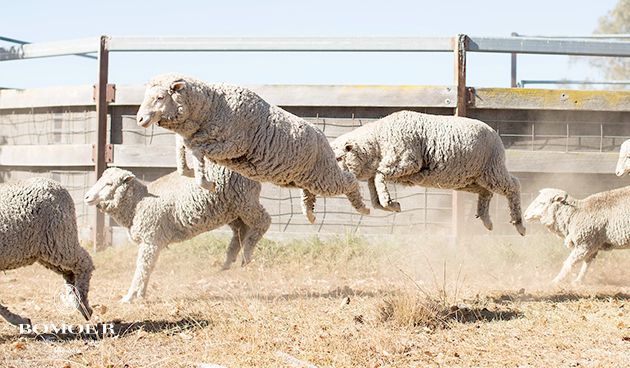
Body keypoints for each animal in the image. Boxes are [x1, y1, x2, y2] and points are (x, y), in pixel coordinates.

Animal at [0, 178, 94, 324]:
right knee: (70, 273)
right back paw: (75, 298)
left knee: (84, 262)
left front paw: (19, 320)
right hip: (48, 251)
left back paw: (83, 304)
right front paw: (20, 320)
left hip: (60, 238)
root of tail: (57, 185)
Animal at [84, 165, 272, 304]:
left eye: (109, 184)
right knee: (241, 230)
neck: (139, 201)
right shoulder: (153, 241)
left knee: (264, 221)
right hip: (231, 210)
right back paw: (228, 262)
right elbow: (148, 268)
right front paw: (141, 294)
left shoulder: (151, 239)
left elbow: (142, 269)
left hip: (246, 200)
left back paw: (247, 254)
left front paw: (129, 296)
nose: (86, 197)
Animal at [133, 73, 370, 223]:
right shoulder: (196, 137)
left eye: (160, 97)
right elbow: (184, 149)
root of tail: (321, 136)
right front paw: (189, 171)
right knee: (308, 194)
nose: (140, 119)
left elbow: (196, 151)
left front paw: (205, 182)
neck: (212, 106)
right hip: (302, 178)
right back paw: (310, 215)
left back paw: (363, 208)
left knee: (349, 180)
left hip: (324, 174)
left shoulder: (231, 146)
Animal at [330, 110, 528, 236]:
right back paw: (486, 220)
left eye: (339, 158)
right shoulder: (390, 168)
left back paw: (519, 224)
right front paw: (388, 205)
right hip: (467, 179)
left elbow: (379, 177)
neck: (378, 141)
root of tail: (495, 133)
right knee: (486, 192)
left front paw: (389, 202)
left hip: (492, 169)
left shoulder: (407, 162)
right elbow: (374, 188)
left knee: (513, 185)